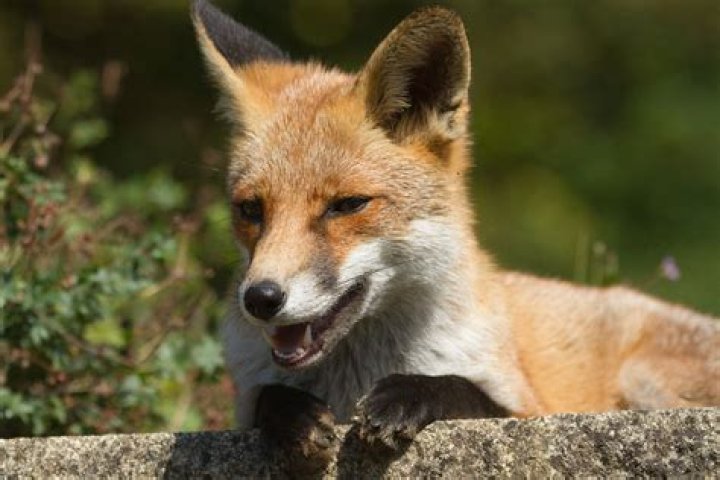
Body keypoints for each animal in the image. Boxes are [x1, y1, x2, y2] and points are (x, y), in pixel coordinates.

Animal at [191, 0, 720, 467]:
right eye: (250, 210)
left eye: (347, 205)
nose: (260, 298)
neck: (352, 381)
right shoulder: (248, 396)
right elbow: (265, 398)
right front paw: (295, 417)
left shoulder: (530, 407)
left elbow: (469, 394)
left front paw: (411, 395)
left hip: (643, 378)